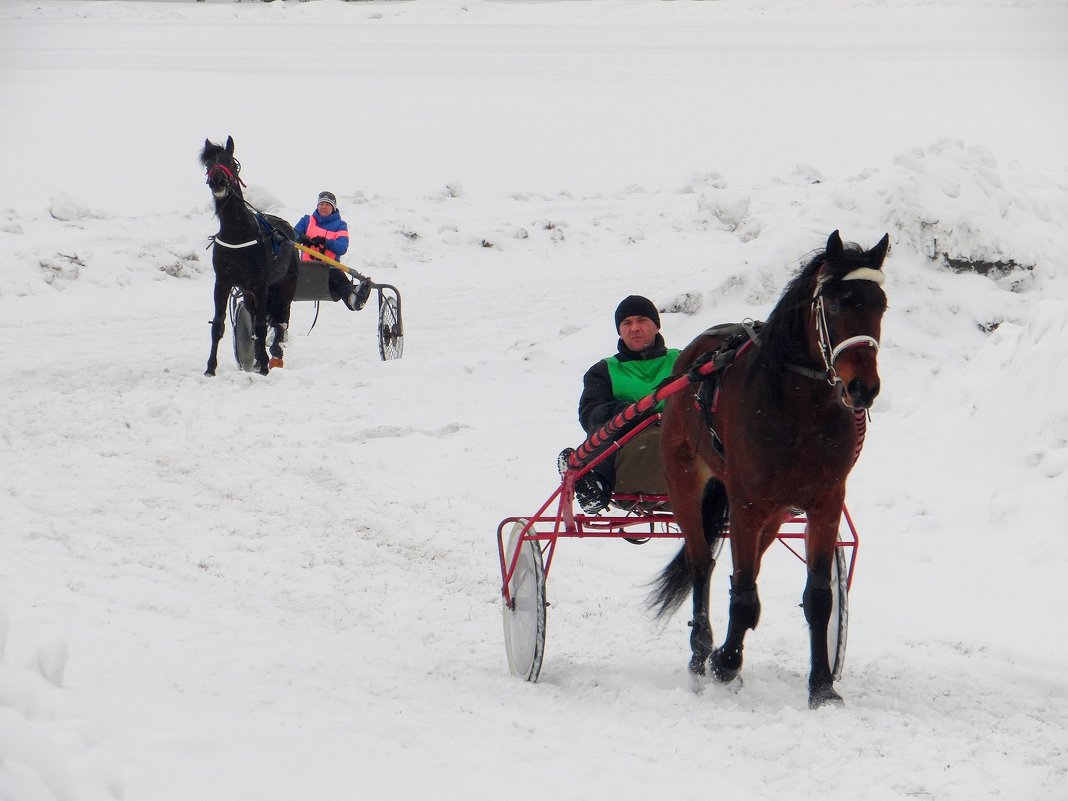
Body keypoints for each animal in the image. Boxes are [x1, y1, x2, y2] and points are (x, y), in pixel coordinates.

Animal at [198, 137, 299, 375]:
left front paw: (264, 366)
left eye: (231, 163)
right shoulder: (223, 282)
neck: (237, 234)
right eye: (209, 165)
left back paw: (275, 353)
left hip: (285, 285)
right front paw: (210, 368)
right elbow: (218, 325)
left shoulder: (261, 285)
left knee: (282, 319)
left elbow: (262, 326)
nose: (217, 181)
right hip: (248, 292)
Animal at [653, 230, 888, 709]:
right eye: (836, 304)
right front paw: (724, 665)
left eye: (881, 305)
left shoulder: (825, 501)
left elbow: (818, 597)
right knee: (702, 562)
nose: (864, 388)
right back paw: (703, 653)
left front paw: (822, 686)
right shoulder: (746, 501)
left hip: (777, 512)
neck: (801, 408)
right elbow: (744, 597)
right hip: (685, 479)